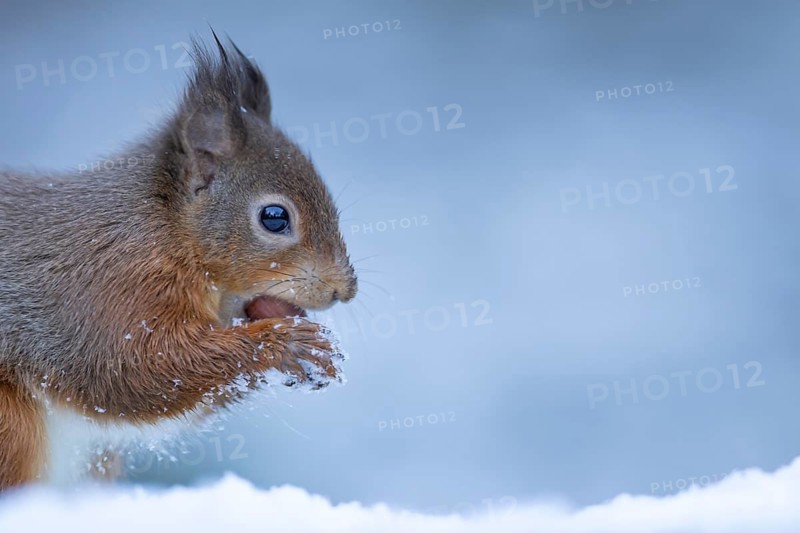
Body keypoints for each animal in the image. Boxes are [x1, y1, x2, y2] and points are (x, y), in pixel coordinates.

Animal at [0, 35, 357, 491]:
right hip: (12, 423)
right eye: (274, 217)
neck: (169, 232)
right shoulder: (103, 288)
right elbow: (135, 370)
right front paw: (285, 344)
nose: (344, 290)